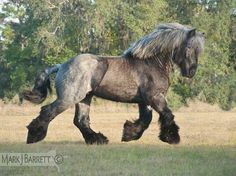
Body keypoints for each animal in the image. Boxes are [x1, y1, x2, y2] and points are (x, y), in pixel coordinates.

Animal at [22, 23, 205, 144]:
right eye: (189, 47)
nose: (191, 72)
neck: (152, 63)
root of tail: (61, 66)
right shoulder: (155, 97)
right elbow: (167, 114)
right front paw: (172, 137)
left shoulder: (145, 101)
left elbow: (146, 119)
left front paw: (129, 134)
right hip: (69, 98)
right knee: (48, 111)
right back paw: (34, 136)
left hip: (84, 98)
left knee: (81, 120)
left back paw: (98, 139)